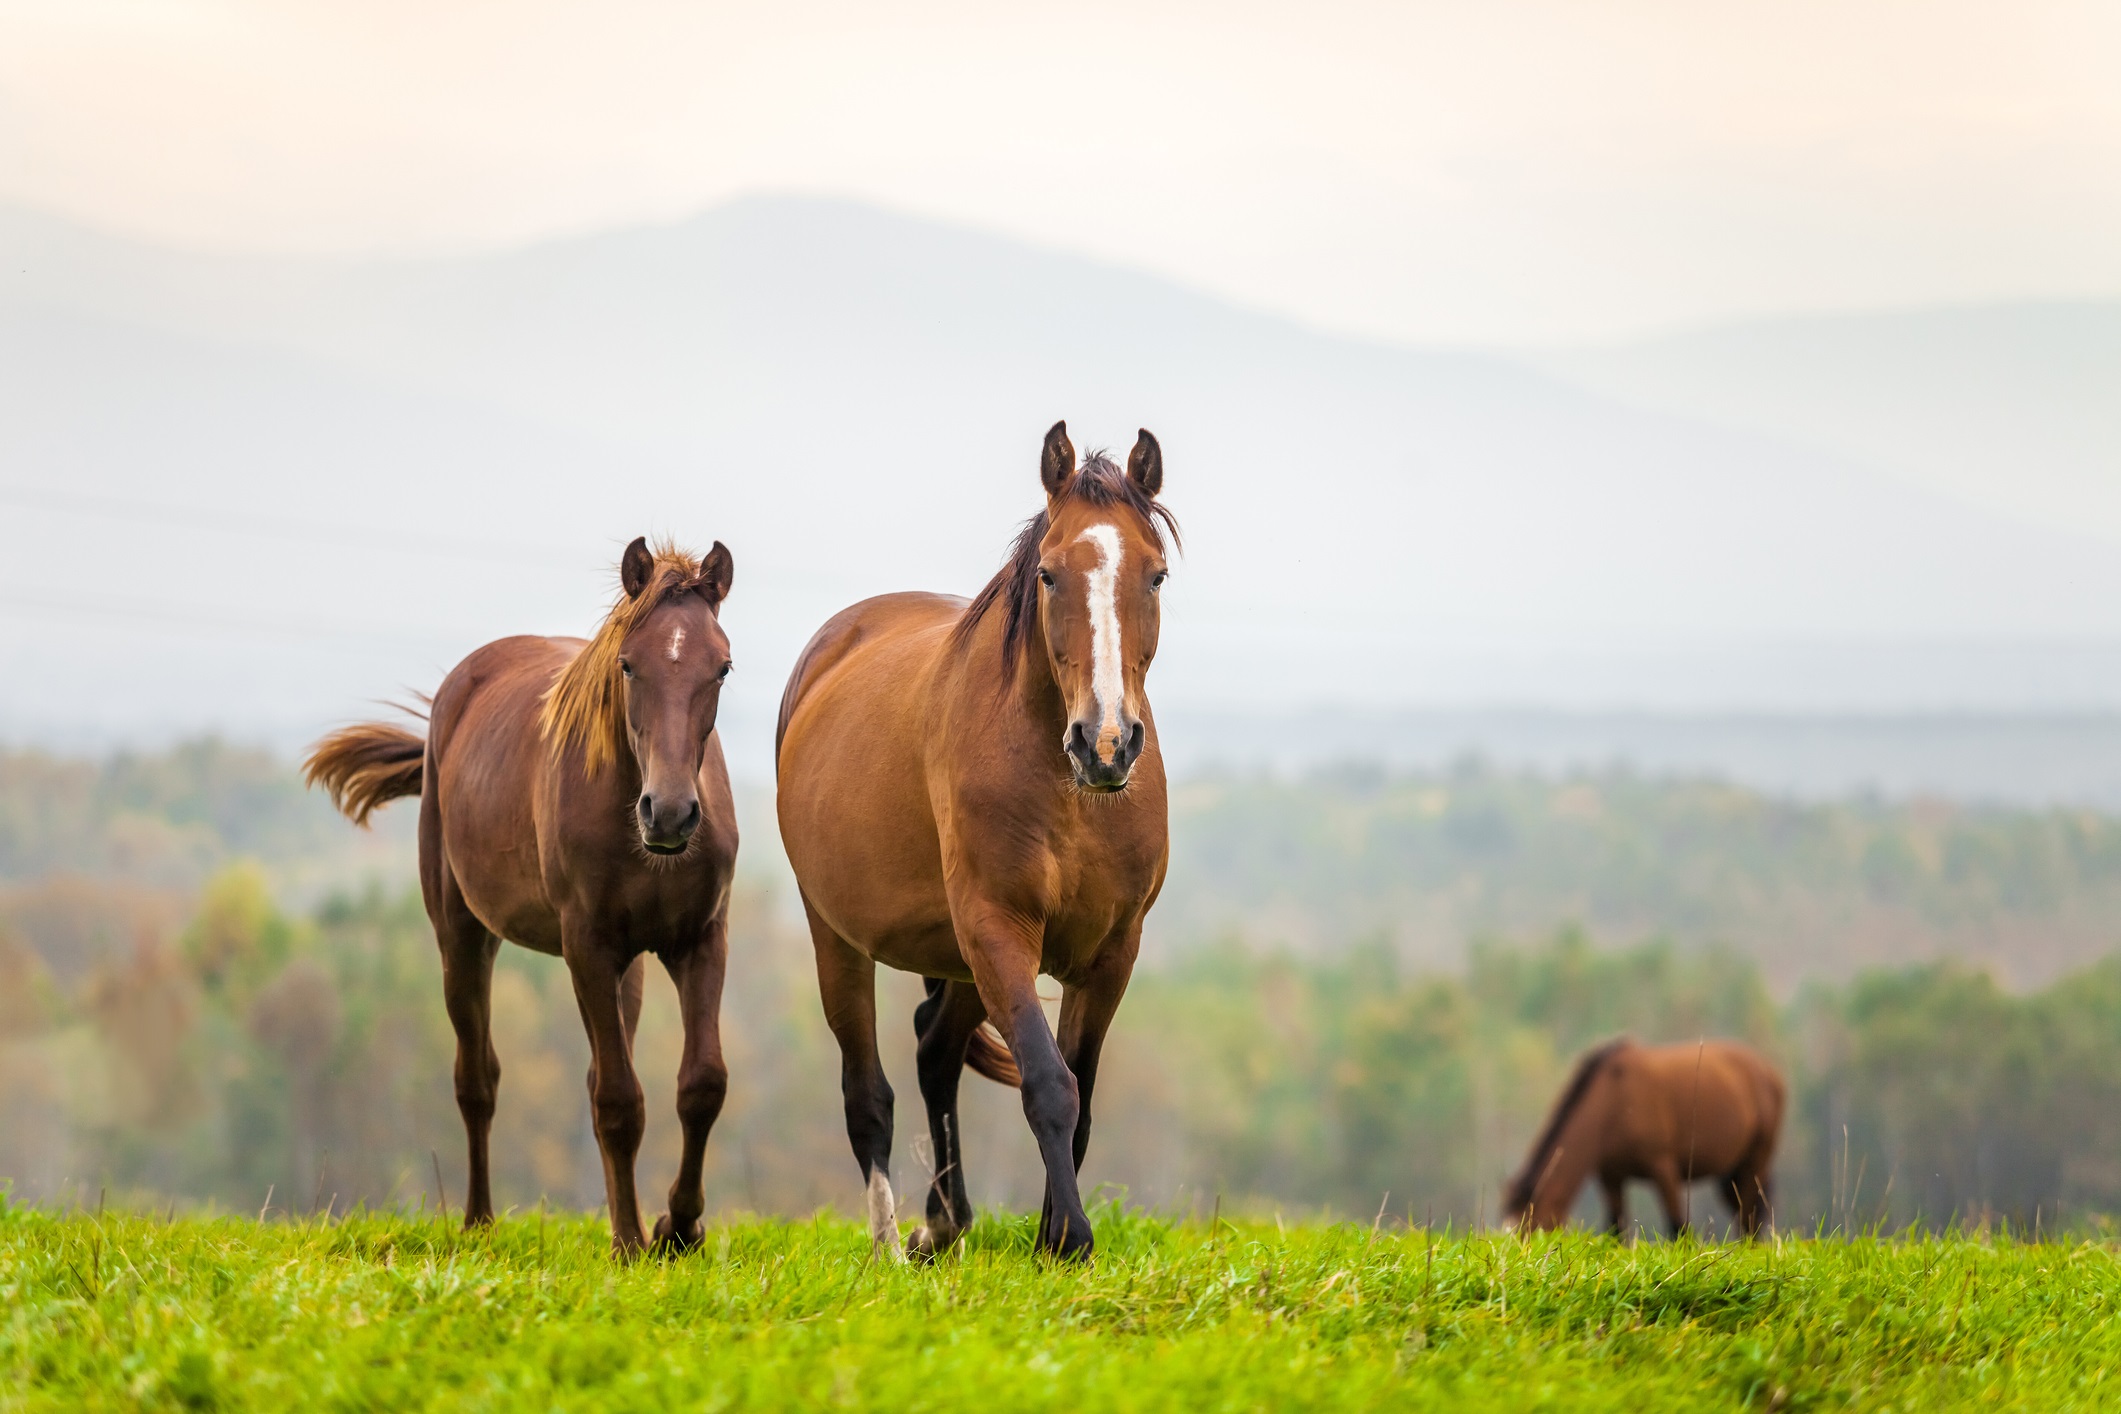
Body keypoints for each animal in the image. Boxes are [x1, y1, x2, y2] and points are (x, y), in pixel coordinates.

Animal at [303, 536, 738, 1255]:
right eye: (627, 664)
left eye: (722, 668)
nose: (671, 815)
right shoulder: (586, 946)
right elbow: (618, 1102)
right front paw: (630, 1243)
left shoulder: (698, 941)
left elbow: (700, 1085)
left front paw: (677, 1227)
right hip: (463, 937)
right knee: (477, 1079)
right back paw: (479, 1221)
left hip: (628, 965)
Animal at [776, 419, 1179, 1263]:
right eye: (1051, 575)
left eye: (1155, 576)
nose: (1105, 743)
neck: (1068, 794)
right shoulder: (998, 929)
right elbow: (1049, 1084)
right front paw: (1068, 1239)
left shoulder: (1111, 951)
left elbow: (1080, 1088)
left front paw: (1052, 1232)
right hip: (841, 938)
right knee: (867, 1092)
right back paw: (890, 1248)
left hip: (957, 957)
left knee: (933, 1050)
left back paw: (943, 1223)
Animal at [1501, 1038, 1781, 1238]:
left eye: (1533, 1229)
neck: (1613, 1100)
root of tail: (1768, 1071)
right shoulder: (1611, 1177)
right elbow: (1617, 1230)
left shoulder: (1664, 1169)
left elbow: (1678, 1228)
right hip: (1730, 1173)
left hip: (1757, 1160)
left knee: (1748, 1216)